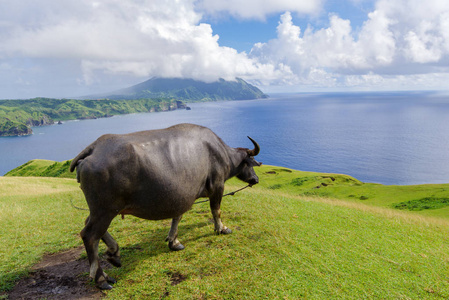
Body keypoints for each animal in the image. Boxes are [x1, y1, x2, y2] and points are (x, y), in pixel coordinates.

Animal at [68, 123, 260, 290]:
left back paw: (114, 253)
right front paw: (222, 228)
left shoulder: (181, 197)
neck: (222, 154)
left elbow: (177, 217)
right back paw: (101, 279)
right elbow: (216, 210)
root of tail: (93, 148)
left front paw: (173, 241)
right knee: (89, 235)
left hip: (100, 210)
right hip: (105, 210)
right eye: (251, 163)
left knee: (89, 224)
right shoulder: (217, 186)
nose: (256, 179)